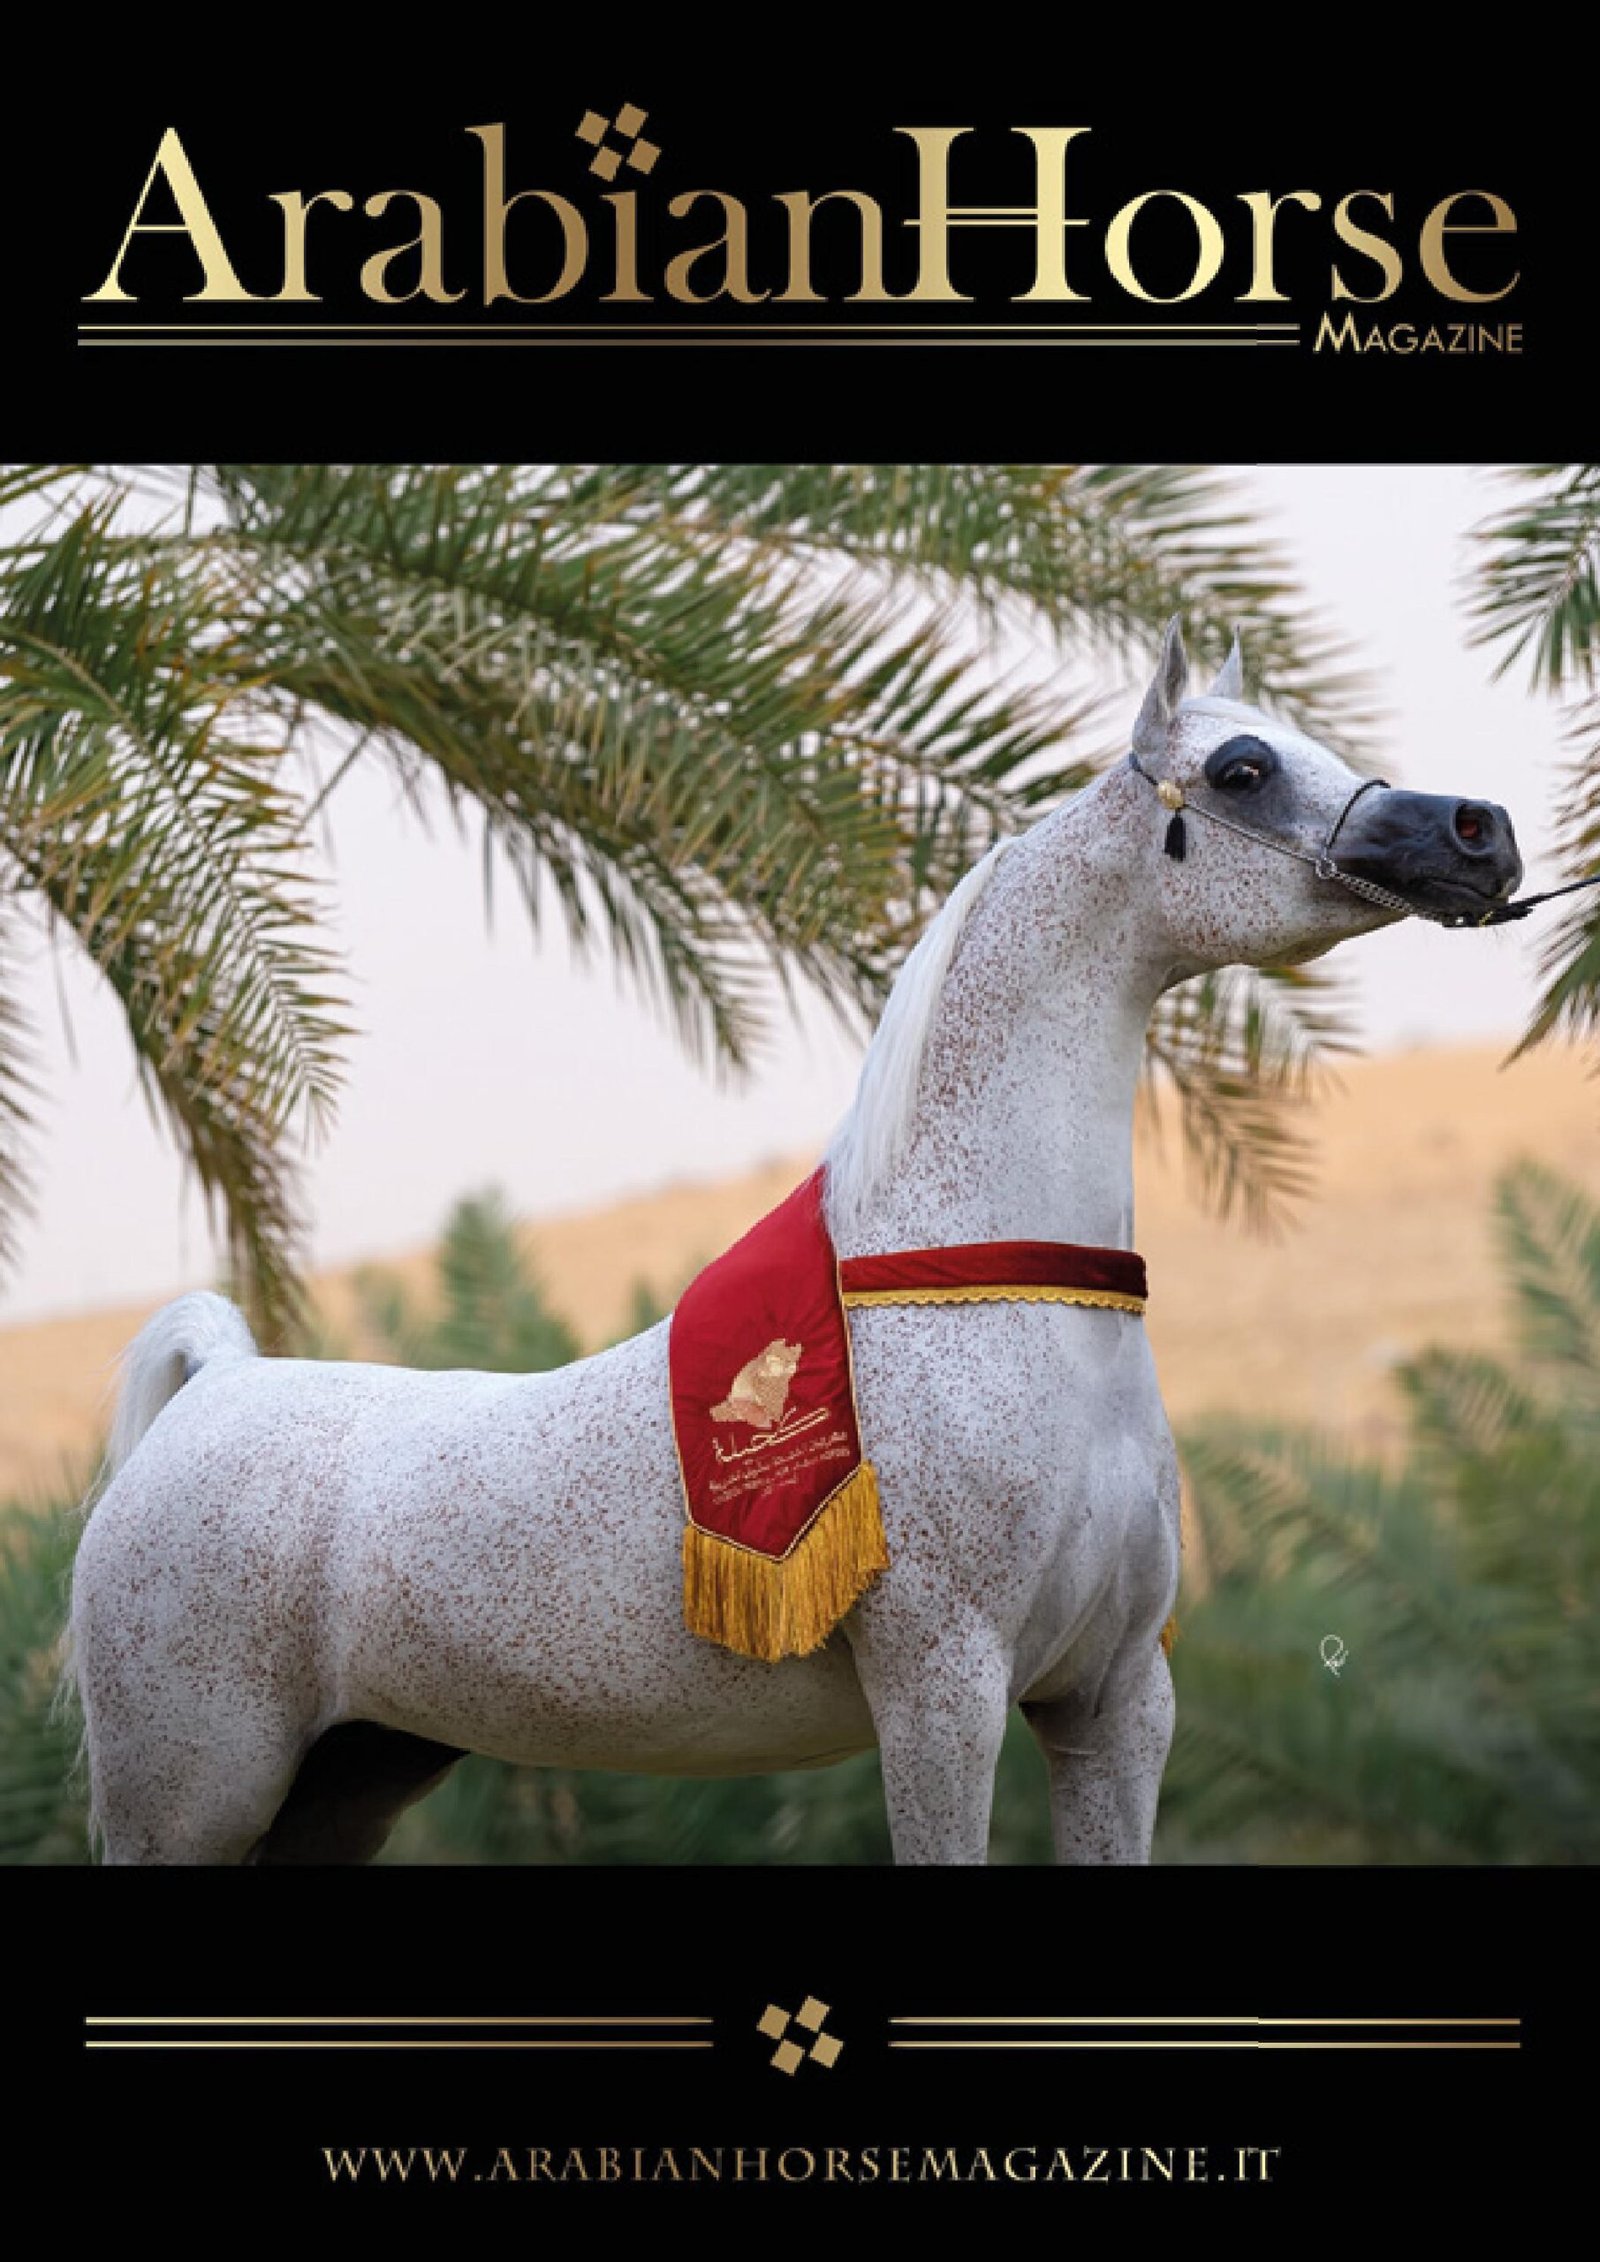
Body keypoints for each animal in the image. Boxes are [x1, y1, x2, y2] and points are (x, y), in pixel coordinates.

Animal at [62, 621, 1522, 1864]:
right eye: (1242, 767)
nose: (1481, 831)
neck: (983, 1294)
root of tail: (221, 1386)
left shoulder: (1116, 1703)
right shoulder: (943, 1686)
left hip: (346, 1779)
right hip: (185, 1797)